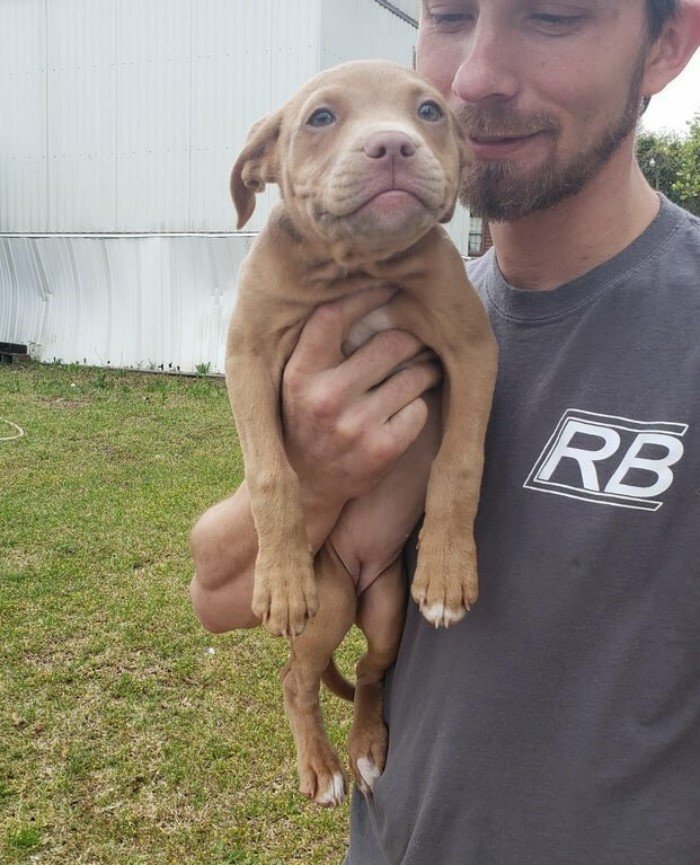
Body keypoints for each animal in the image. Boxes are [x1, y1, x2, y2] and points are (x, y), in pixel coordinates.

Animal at [227, 59, 494, 804]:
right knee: (295, 676)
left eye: (430, 111)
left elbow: (460, 463)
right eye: (321, 118)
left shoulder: (471, 347)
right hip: (329, 605)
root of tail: (360, 574)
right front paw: (277, 580)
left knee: (373, 671)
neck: (356, 265)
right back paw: (320, 767)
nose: (394, 145)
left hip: (385, 611)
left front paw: (448, 570)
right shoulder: (248, 352)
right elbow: (271, 473)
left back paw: (367, 750)